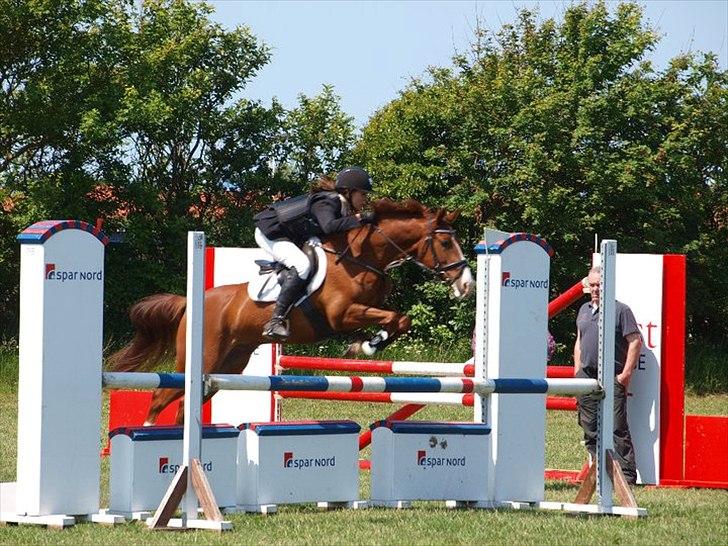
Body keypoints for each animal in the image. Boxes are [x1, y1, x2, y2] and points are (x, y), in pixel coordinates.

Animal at [108, 199, 474, 424]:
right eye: (445, 243)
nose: (467, 284)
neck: (363, 258)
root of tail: (191, 301)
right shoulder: (342, 314)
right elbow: (393, 318)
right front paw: (367, 346)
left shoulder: (363, 311)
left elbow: (400, 319)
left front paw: (364, 345)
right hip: (200, 360)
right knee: (161, 396)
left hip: (228, 365)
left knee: (186, 404)